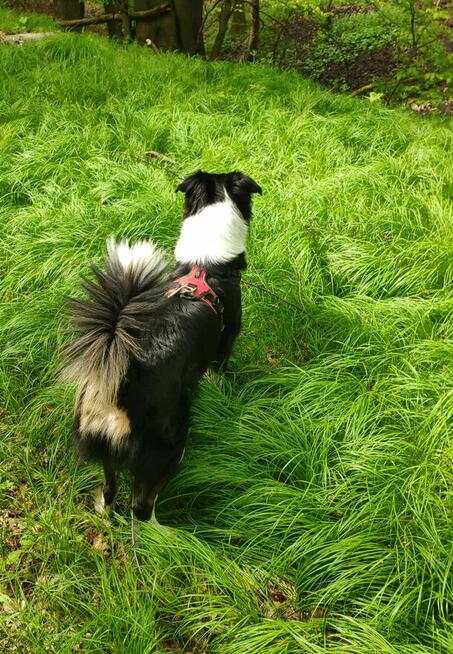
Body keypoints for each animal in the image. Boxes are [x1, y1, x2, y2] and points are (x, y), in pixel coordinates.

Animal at [63, 172, 262, 524]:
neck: (203, 266)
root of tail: (119, 391)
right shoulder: (226, 340)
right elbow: (219, 372)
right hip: (169, 444)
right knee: (141, 505)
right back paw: (167, 532)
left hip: (105, 445)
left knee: (110, 489)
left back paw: (106, 513)